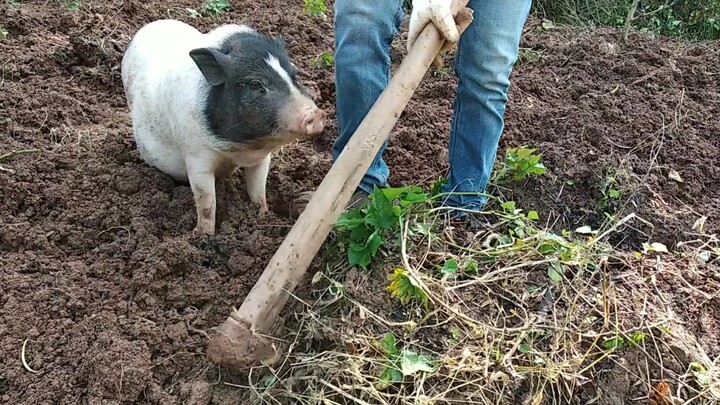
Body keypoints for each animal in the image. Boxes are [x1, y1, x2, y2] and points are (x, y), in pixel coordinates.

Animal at [121, 19, 325, 235]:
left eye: (295, 76)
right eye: (255, 84)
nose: (316, 114)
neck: (240, 149)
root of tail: (150, 25)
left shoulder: (261, 159)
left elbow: (258, 190)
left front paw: (262, 216)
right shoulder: (196, 158)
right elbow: (206, 202)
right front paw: (203, 235)